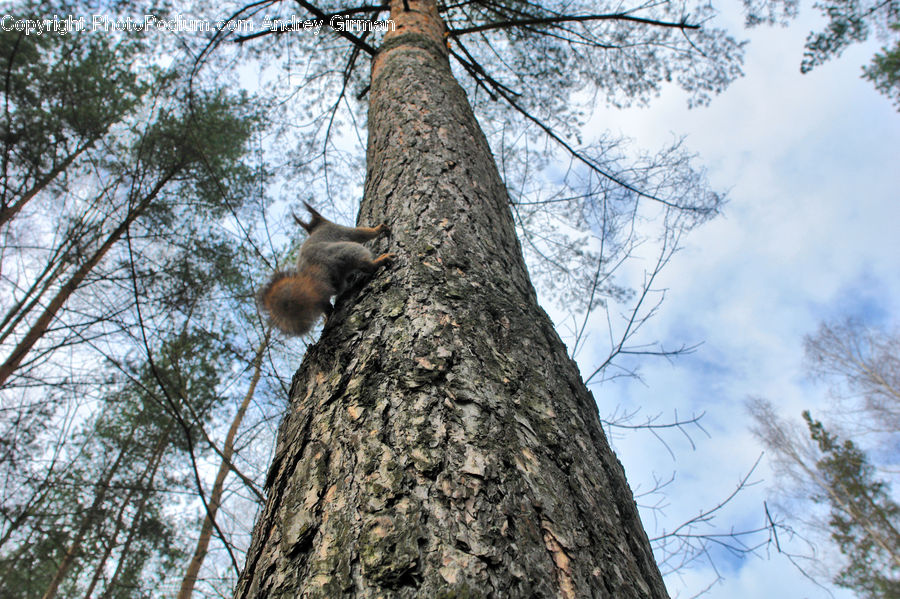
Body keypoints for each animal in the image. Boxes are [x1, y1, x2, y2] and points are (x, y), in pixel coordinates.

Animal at [259, 202, 395, 336]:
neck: (318, 226)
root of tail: (316, 272)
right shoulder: (339, 229)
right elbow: (360, 233)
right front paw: (379, 228)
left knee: (326, 303)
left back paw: (327, 316)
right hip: (347, 250)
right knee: (365, 265)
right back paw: (380, 260)